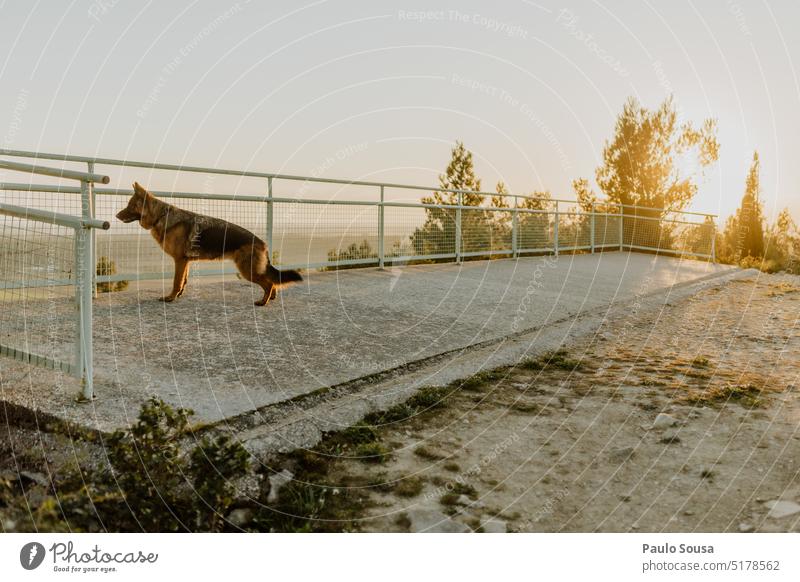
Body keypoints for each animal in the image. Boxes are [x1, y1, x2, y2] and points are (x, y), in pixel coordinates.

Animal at [113, 184, 300, 308]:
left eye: (129, 205)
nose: (115, 216)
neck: (161, 216)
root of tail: (262, 243)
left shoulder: (179, 260)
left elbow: (176, 281)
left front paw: (171, 297)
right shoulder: (185, 262)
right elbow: (183, 280)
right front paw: (179, 295)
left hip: (248, 270)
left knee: (268, 283)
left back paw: (263, 301)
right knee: (272, 282)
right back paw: (271, 298)